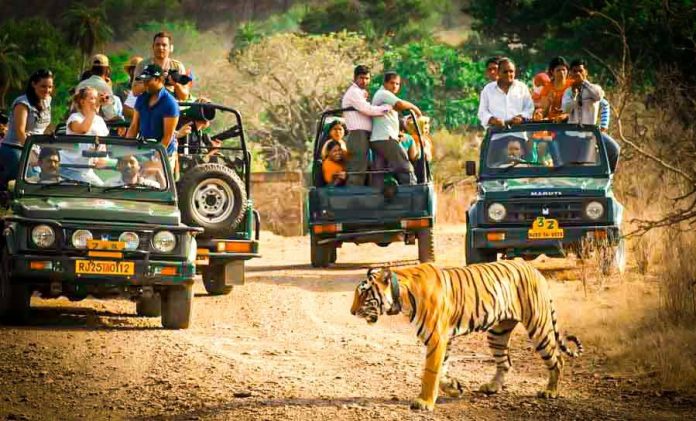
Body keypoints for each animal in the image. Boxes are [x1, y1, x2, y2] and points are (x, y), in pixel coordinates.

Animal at [348, 260, 580, 410]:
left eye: (364, 294)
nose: (351, 312)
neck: (401, 296)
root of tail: (534, 269)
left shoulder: (437, 337)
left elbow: (430, 372)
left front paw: (424, 402)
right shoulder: (444, 339)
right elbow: (441, 371)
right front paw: (454, 388)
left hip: (538, 326)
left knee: (557, 359)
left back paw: (550, 391)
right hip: (498, 333)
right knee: (505, 362)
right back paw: (492, 387)